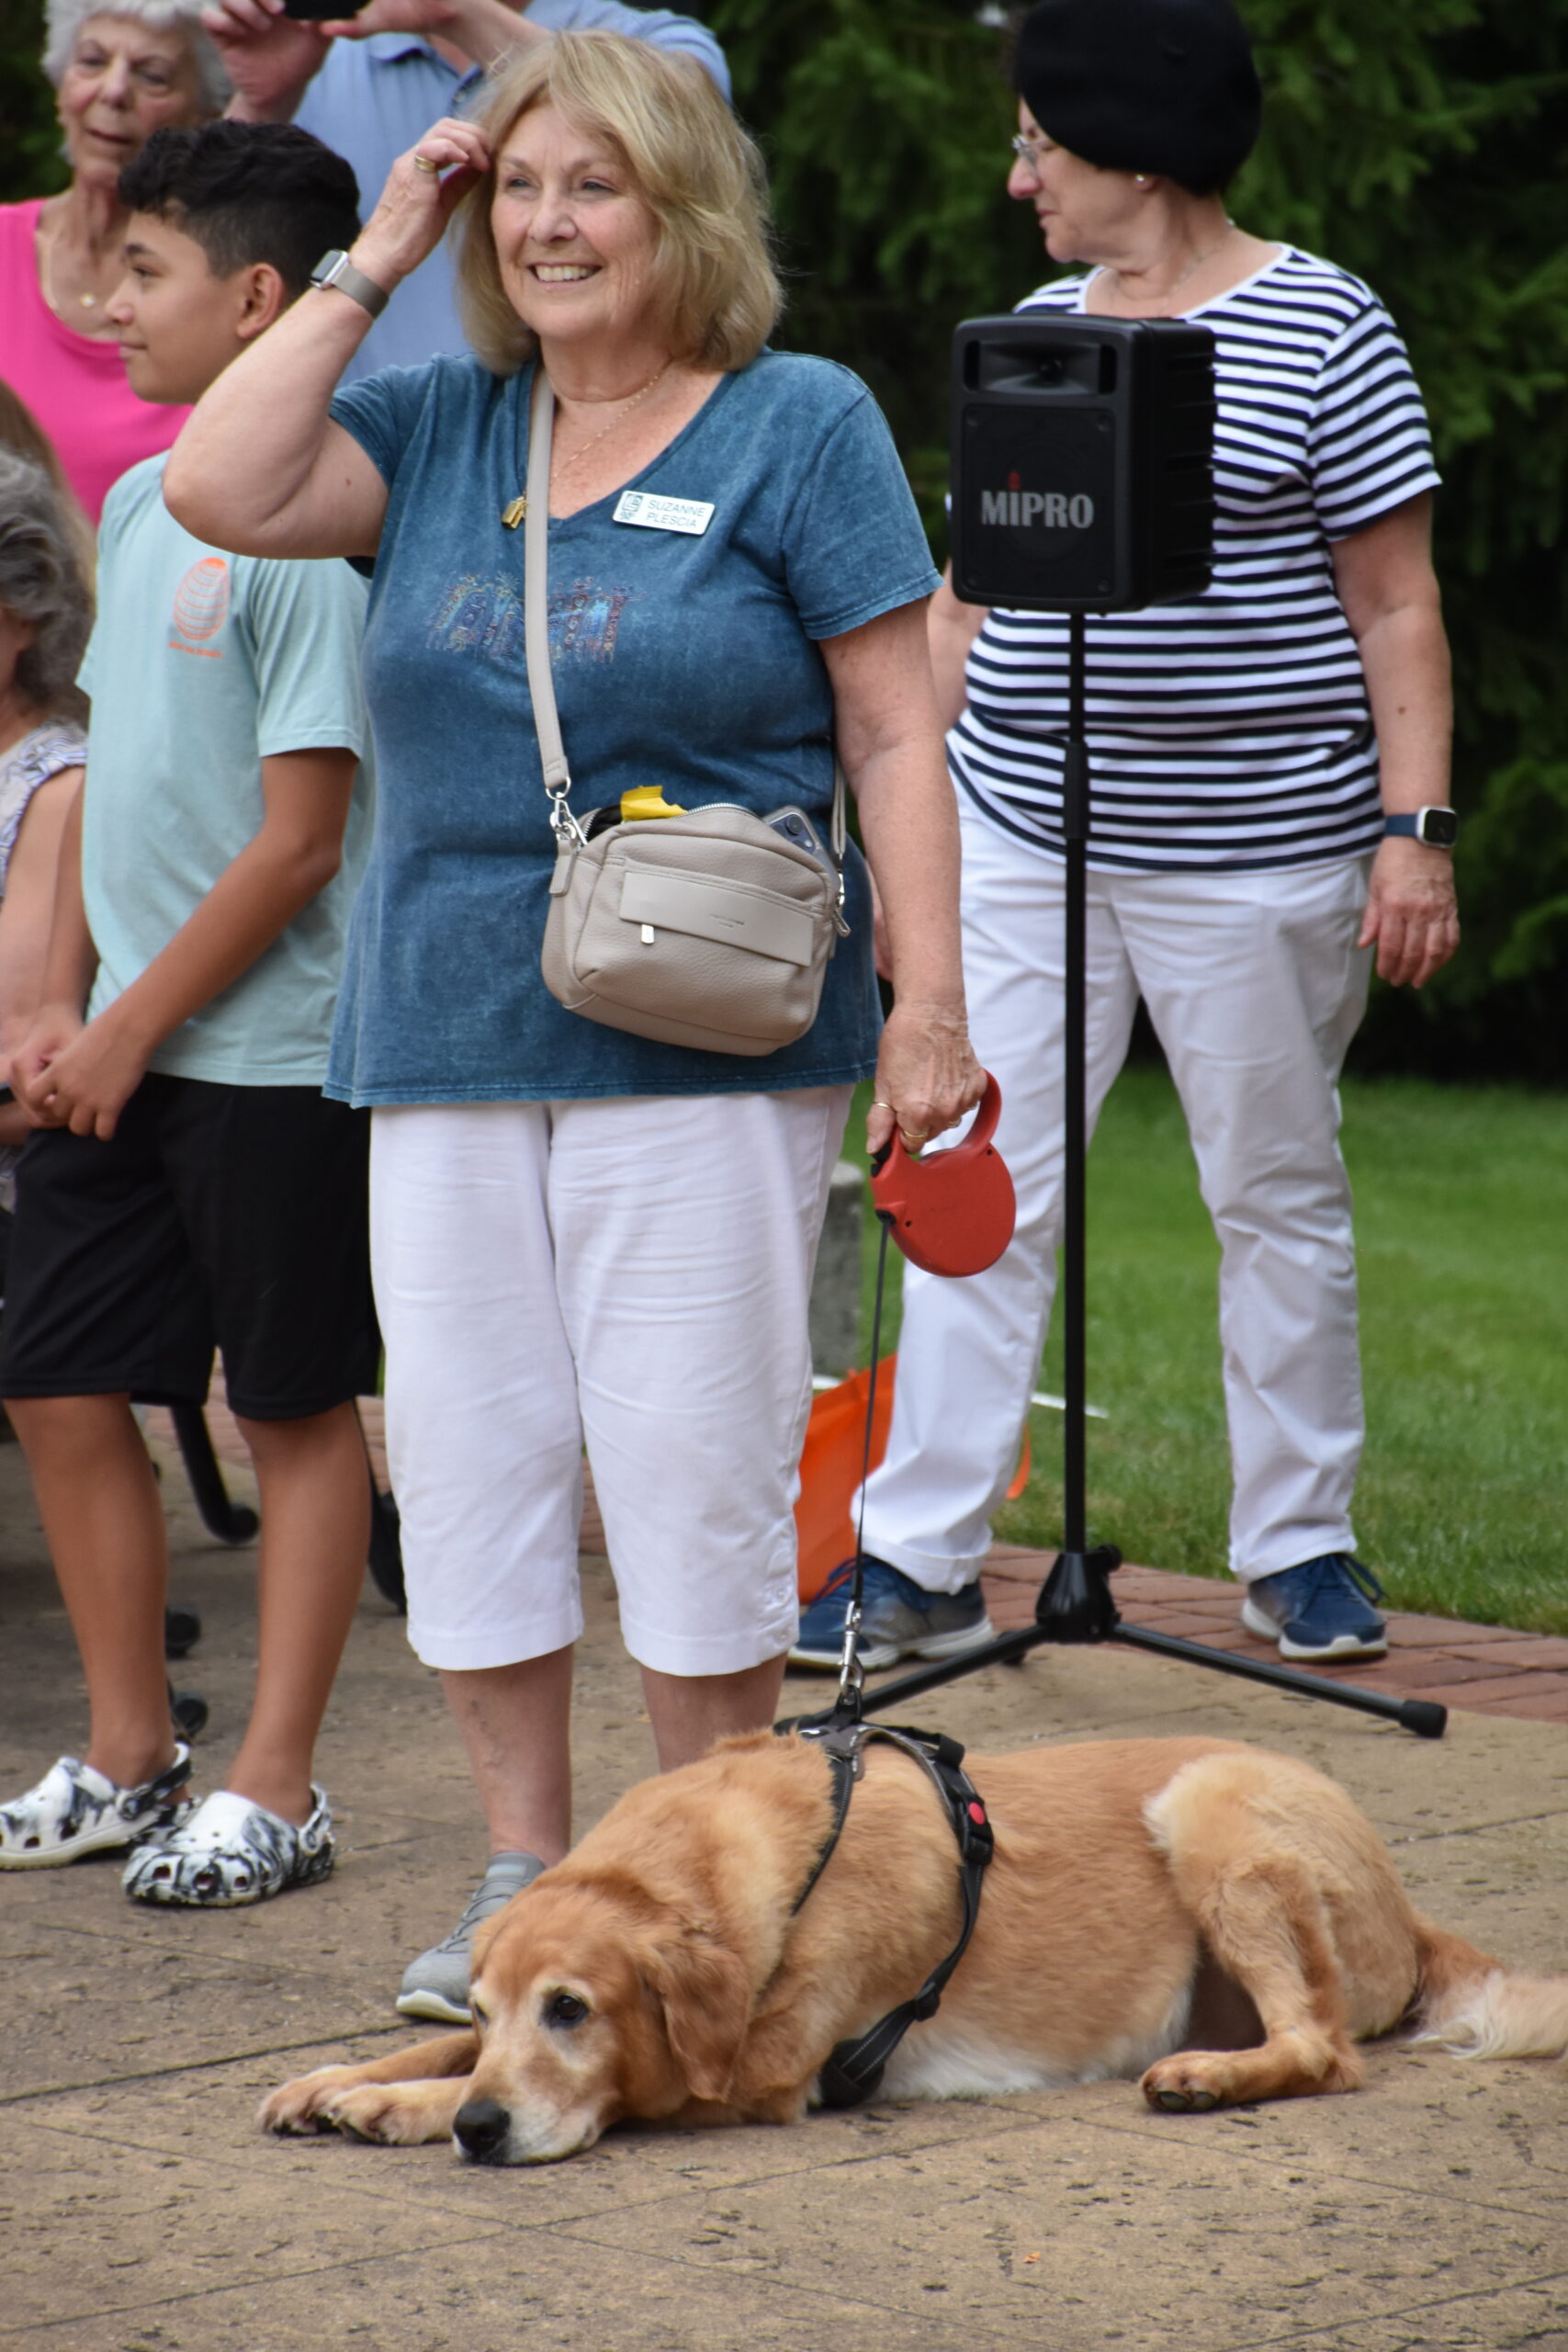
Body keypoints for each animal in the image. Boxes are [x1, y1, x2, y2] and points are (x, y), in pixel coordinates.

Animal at [261, 1732, 1568, 2165]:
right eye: (487, 2008)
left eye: (572, 2009)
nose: (486, 2131)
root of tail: (1409, 1909)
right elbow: (423, 2054)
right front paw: (338, 2078)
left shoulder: (751, 2074)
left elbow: (623, 2086)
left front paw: (403, 2112)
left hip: (1210, 1807)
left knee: (1326, 2048)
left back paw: (1208, 2077)